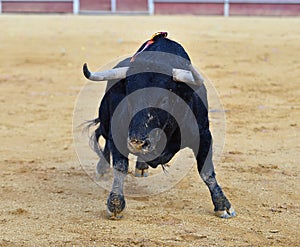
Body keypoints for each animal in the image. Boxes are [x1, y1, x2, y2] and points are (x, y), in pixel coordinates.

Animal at [83, 35, 236, 218]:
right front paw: (115, 204)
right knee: (105, 140)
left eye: (163, 99)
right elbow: (120, 167)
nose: (137, 142)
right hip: (107, 119)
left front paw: (223, 205)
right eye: (129, 96)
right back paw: (102, 167)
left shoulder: (204, 135)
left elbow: (206, 172)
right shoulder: (119, 133)